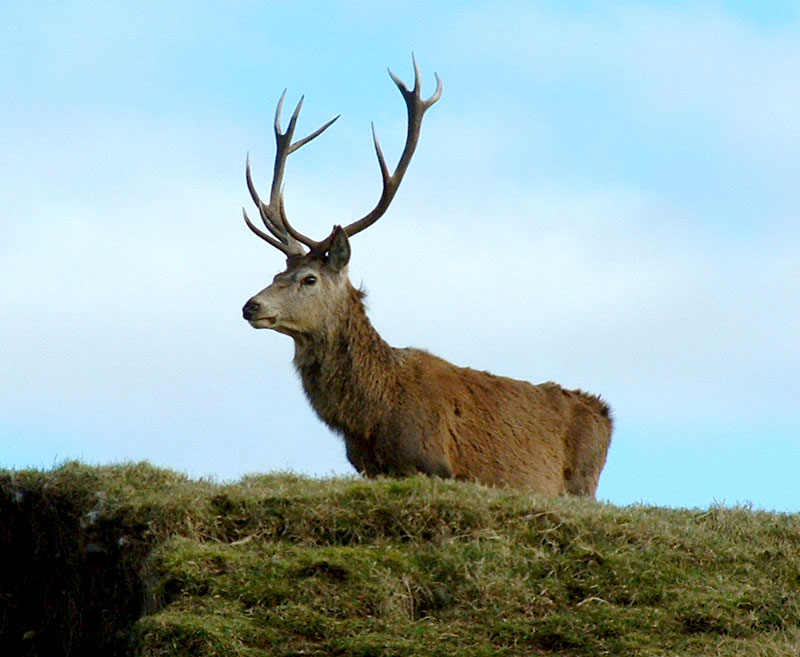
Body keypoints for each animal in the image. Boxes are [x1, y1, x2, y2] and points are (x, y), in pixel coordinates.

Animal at [239, 57, 612, 498]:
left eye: (309, 279)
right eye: (277, 272)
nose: (251, 305)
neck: (373, 416)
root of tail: (604, 413)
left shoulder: (433, 464)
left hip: (583, 483)